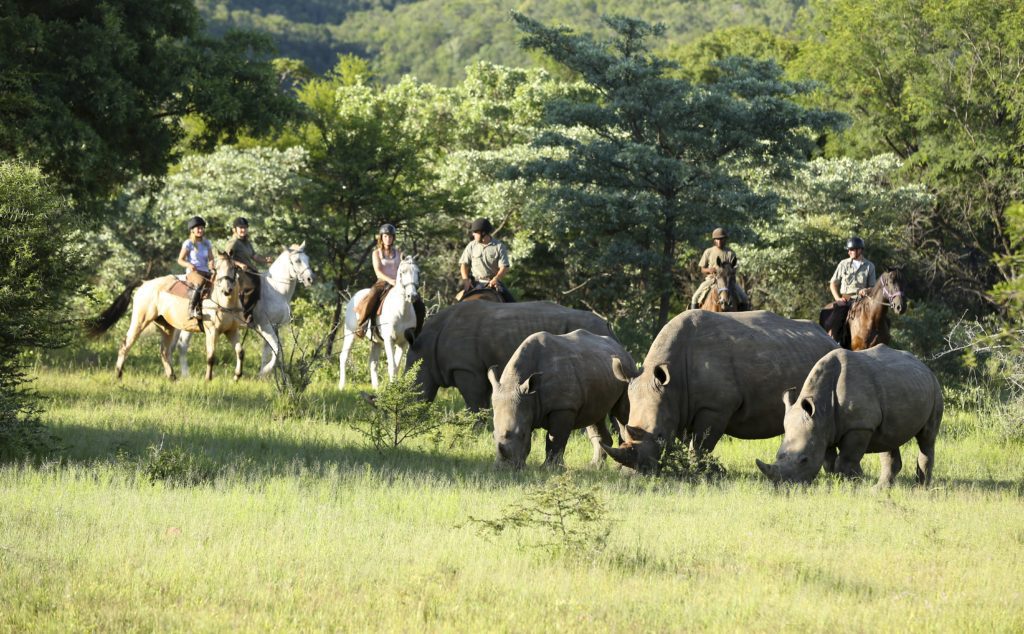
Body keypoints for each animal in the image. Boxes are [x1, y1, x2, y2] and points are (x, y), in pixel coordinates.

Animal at [405, 301, 614, 410]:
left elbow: (474, 401)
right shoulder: (478, 368)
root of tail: (607, 325)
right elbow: (482, 400)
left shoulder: (466, 368)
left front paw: (476, 429)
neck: (427, 345)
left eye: (412, 384)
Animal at [486, 329, 636, 469]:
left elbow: (555, 438)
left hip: (627, 370)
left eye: (523, 434)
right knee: (595, 416)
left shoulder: (564, 407)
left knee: (623, 414)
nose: (504, 468)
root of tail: (621, 347)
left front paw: (550, 469)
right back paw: (595, 466)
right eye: (493, 435)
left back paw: (621, 466)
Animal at [606, 310, 838, 473]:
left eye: (660, 435)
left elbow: (701, 444)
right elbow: (691, 443)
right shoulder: (678, 404)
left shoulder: (715, 407)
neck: (673, 381)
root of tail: (829, 338)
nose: (638, 471)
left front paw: (702, 474)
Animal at [755, 345, 942, 487]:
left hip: (934, 388)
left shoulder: (860, 426)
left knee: (927, 438)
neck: (821, 407)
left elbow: (845, 460)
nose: (784, 487)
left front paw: (855, 483)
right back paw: (879, 490)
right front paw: (838, 483)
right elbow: (828, 462)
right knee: (888, 440)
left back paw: (922, 489)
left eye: (804, 460)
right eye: (778, 456)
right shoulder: (823, 427)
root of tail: (924, 366)